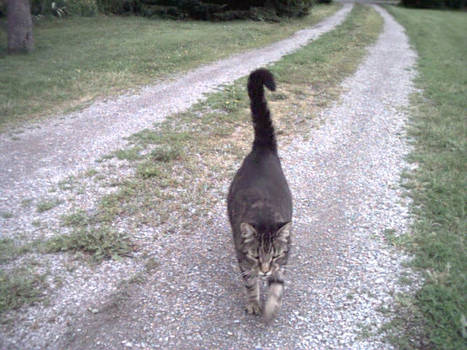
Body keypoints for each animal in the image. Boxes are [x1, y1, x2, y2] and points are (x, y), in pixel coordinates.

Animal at [227, 67, 292, 320]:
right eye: (256, 257)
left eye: (272, 257)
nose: (264, 270)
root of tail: (262, 148)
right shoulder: (244, 262)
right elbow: (250, 284)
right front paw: (255, 303)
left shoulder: (283, 261)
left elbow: (277, 286)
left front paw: (271, 308)